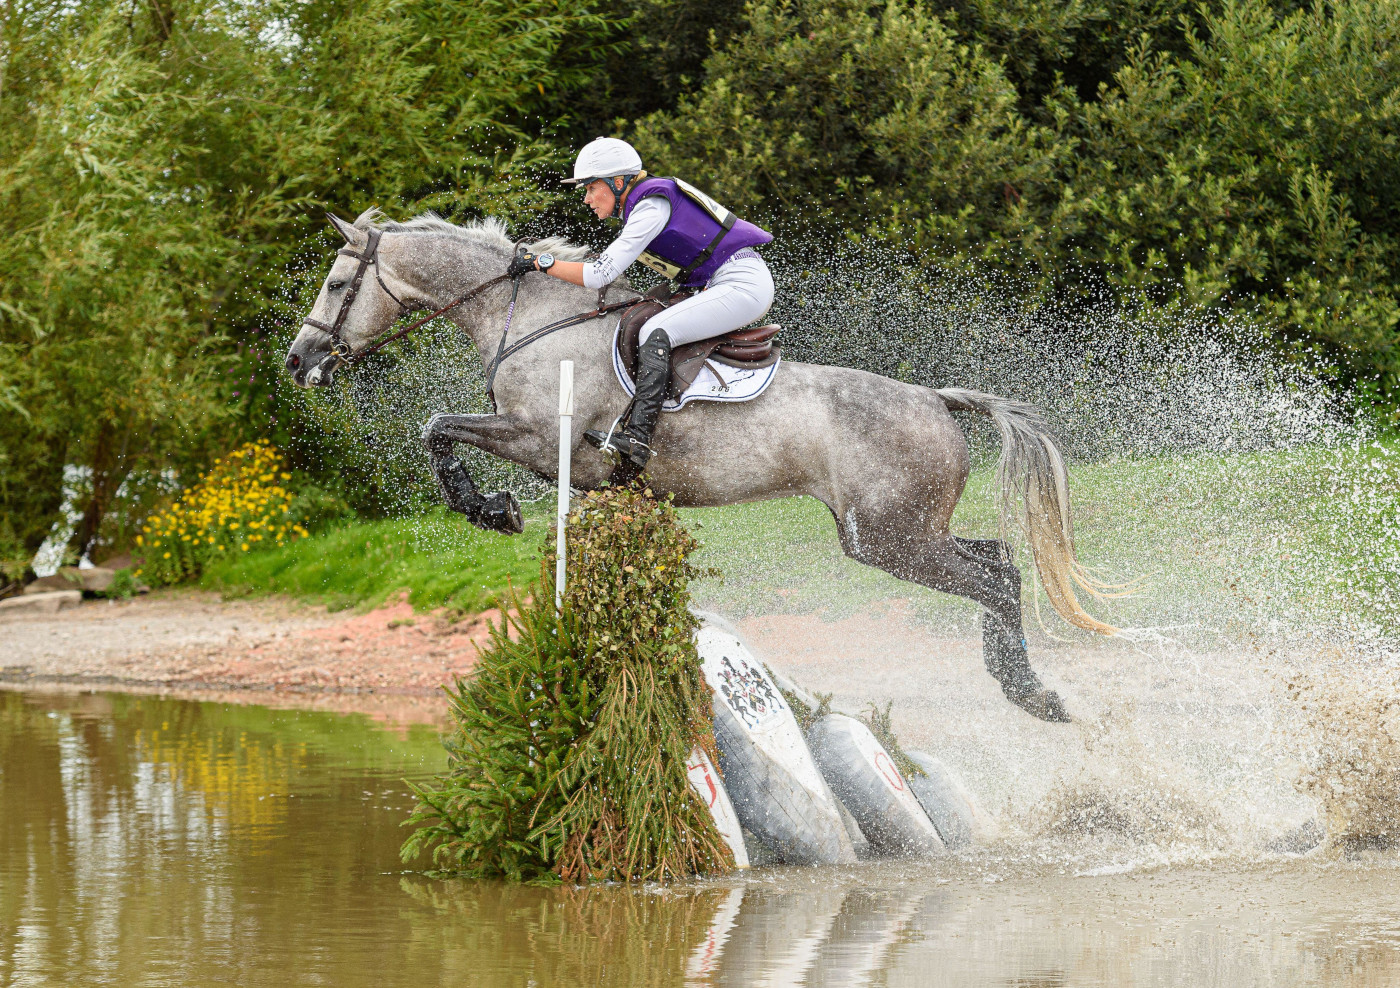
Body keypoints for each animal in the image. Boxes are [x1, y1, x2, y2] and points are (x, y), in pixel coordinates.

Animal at [285, 209, 1118, 723]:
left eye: (336, 284)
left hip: (888, 536)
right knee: (1000, 560)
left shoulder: (539, 440)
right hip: (903, 530)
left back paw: (1031, 694)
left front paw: (488, 509)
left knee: (994, 579)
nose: (298, 362)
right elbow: (444, 430)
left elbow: (439, 428)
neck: (530, 319)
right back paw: (1023, 684)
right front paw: (492, 508)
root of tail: (936, 399)